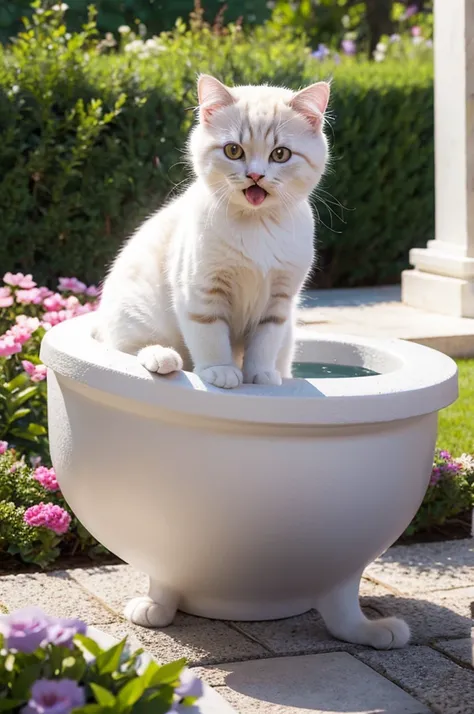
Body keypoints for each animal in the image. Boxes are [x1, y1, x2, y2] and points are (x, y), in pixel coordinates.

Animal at [97, 73, 330, 386]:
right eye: (233, 150)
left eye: (281, 154)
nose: (255, 175)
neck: (256, 224)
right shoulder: (201, 289)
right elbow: (211, 335)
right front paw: (220, 370)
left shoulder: (279, 301)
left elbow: (265, 341)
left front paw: (260, 375)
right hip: (137, 309)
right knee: (127, 349)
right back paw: (162, 358)